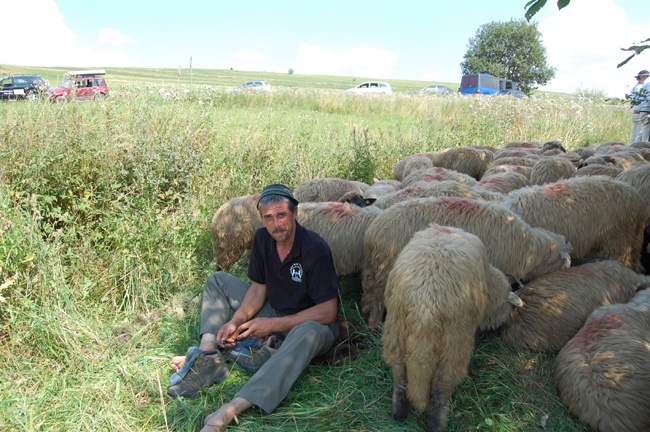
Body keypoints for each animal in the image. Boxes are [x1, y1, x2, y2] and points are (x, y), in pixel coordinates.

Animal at [360, 197, 568, 328]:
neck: (528, 249)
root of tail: (373, 230)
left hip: (374, 273)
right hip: (384, 273)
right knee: (377, 302)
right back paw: (374, 326)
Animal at [382, 226, 524, 432]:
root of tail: (424, 306)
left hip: (395, 332)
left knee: (400, 377)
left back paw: (399, 414)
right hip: (454, 343)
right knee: (441, 388)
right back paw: (436, 424)